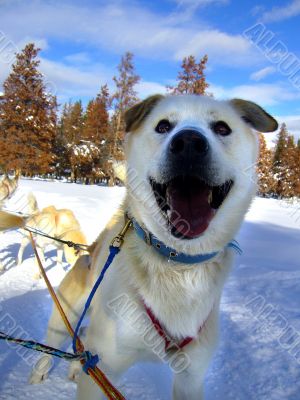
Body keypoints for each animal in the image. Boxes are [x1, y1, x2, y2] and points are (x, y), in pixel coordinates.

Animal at [24, 94, 278, 396]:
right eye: (163, 126)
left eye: (222, 128)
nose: (189, 143)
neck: (177, 263)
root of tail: (94, 248)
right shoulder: (105, 363)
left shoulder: (191, 376)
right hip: (67, 314)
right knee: (55, 341)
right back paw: (38, 373)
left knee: (83, 344)